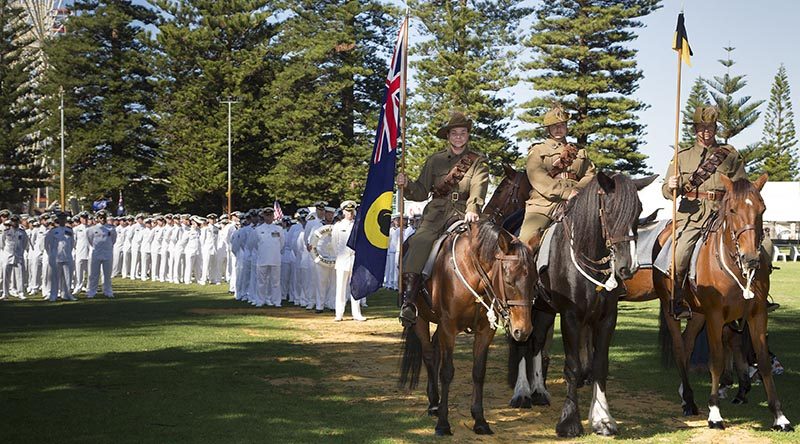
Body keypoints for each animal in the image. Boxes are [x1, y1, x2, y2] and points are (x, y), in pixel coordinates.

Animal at [400, 165, 536, 436]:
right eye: (509, 280)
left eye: (534, 282)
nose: (523, 330)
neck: (474, 272)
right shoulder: (449, 326)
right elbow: (447, 371)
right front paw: (443, 423)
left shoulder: (484, 330)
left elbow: (478, 372)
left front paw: (480, 420)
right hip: (420, 320)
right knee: (429, 355)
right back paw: (434, 403)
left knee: (435, 351)